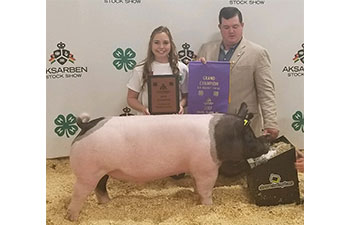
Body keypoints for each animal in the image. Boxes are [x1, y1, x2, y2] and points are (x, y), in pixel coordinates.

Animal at [66, 103, 268, 221]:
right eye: (250, 136)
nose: (266, 142)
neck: (218, 139)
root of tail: (85, 125)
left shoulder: (196, 168)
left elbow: (197, 186)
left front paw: (197, 198)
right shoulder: (207, 168)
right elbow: (206, 188)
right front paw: (209, 206)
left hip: (101, 172)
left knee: (100, 188)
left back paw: (107, 204)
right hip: (87, 172)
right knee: (79, 193)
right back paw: (72, 218)